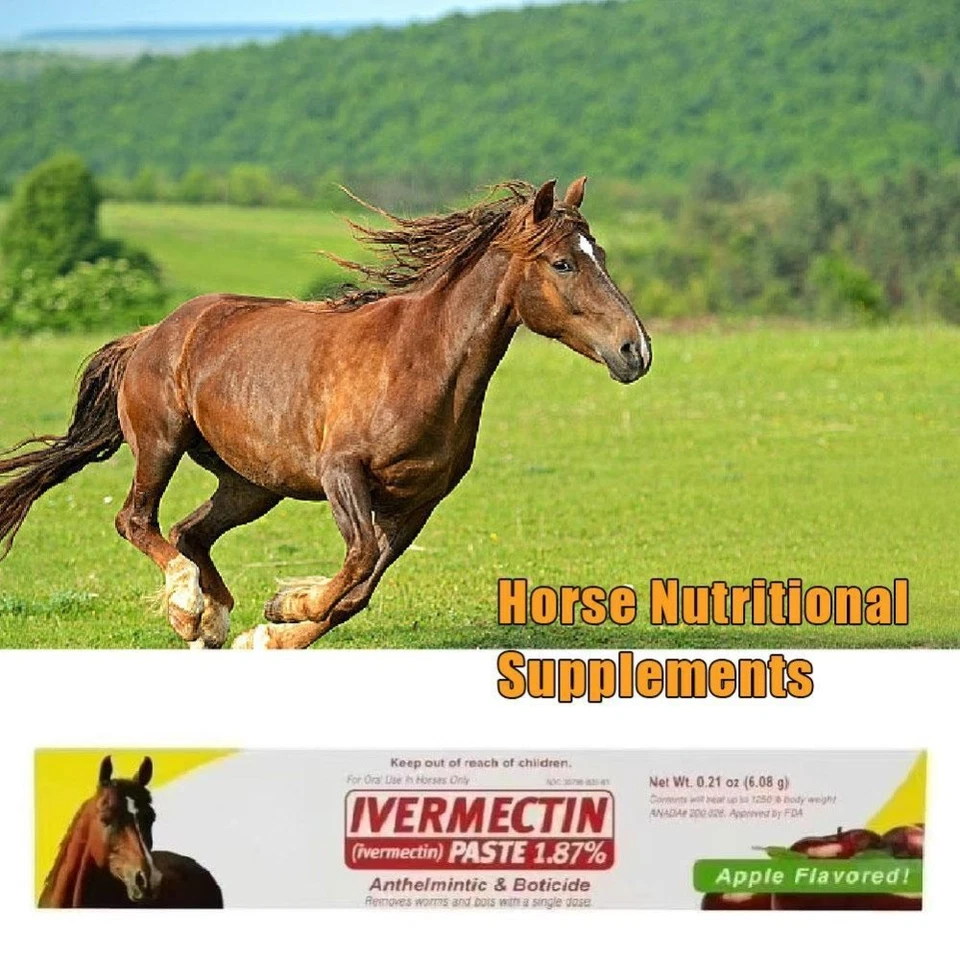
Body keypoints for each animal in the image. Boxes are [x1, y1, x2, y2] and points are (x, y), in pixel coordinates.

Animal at [0, 177, 651, 649]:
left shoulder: (418, 501)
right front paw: (285, 606)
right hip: (161, 443)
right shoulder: (342, 473)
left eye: (598, 254)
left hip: (253, 484)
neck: (419, 361)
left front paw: (272, 633)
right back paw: (188, 608)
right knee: (137, 521)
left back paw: (212, 623)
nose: (635, 350)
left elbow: (360, 588)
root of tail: (153, 333)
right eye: (564, 263)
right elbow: (357, 560)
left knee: (189, 532)